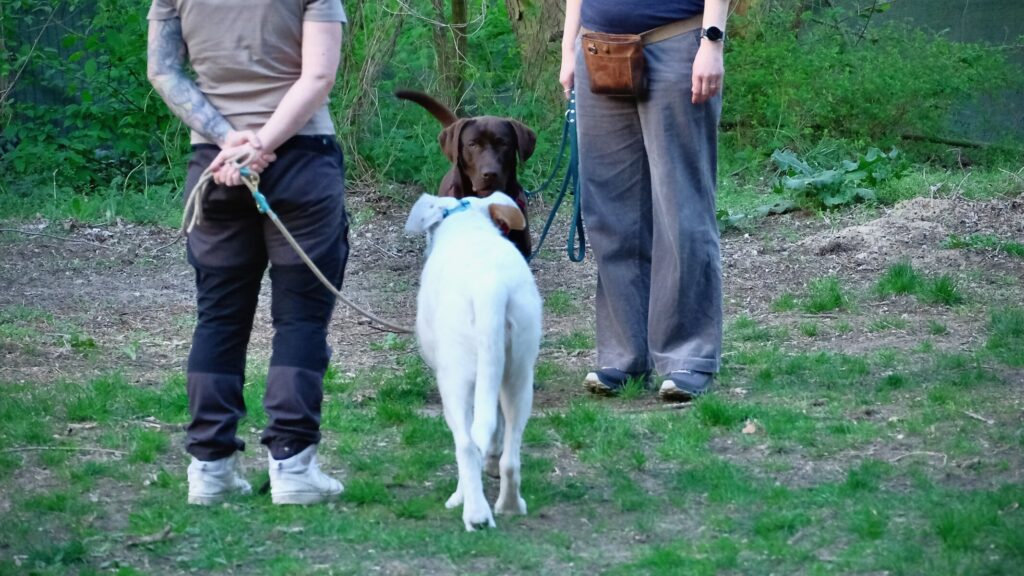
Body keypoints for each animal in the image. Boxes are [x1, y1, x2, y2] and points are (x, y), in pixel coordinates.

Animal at [403, 191, 544, 528]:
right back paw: (509, 505)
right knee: (511, 453)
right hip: (519, 377)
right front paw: (491, 461)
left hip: (455, 383)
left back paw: (474, 512)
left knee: (466, 445)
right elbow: (495, 429)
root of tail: (489, 287)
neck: (467, 223)